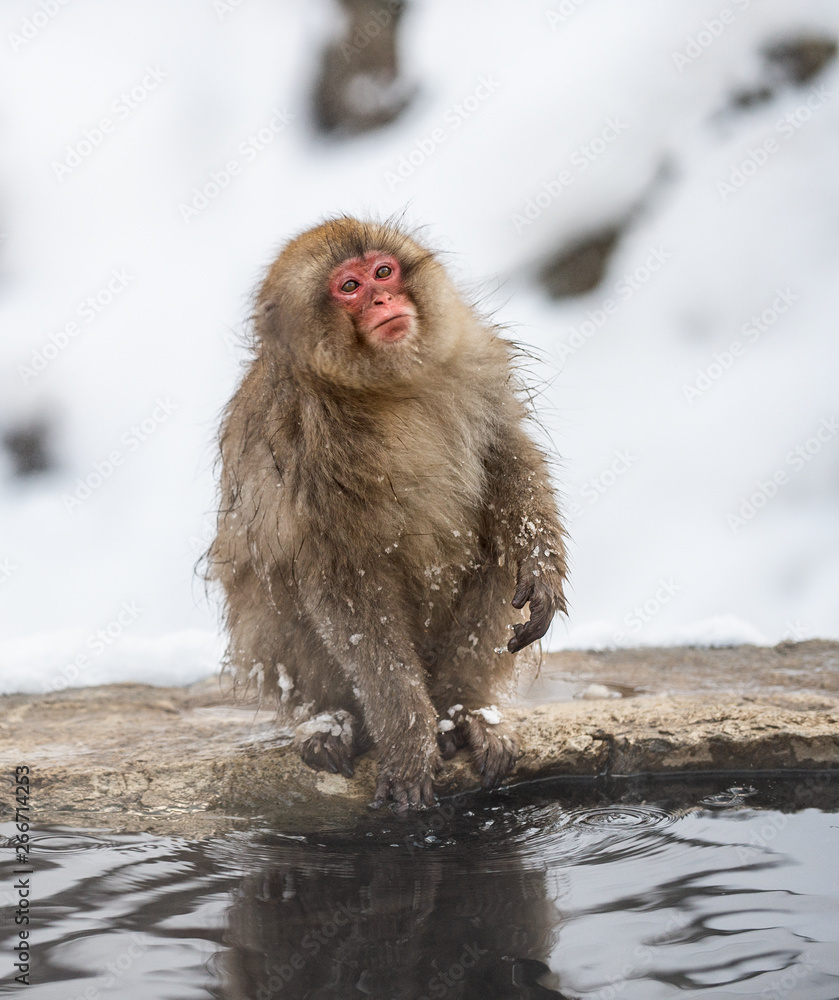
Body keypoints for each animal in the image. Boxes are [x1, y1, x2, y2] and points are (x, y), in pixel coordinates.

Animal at [208, 217, 567, 811]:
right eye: (349, 287)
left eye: (383, 271)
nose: (383, 299)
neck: (385, 388)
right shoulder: (302, 441)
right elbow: (348, 593)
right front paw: (408, 742)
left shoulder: (477, 365)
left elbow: (509, 459)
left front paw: (539, 568)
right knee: (273, 597)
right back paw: (330, 723)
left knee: (496, 546)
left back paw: (464, 711)